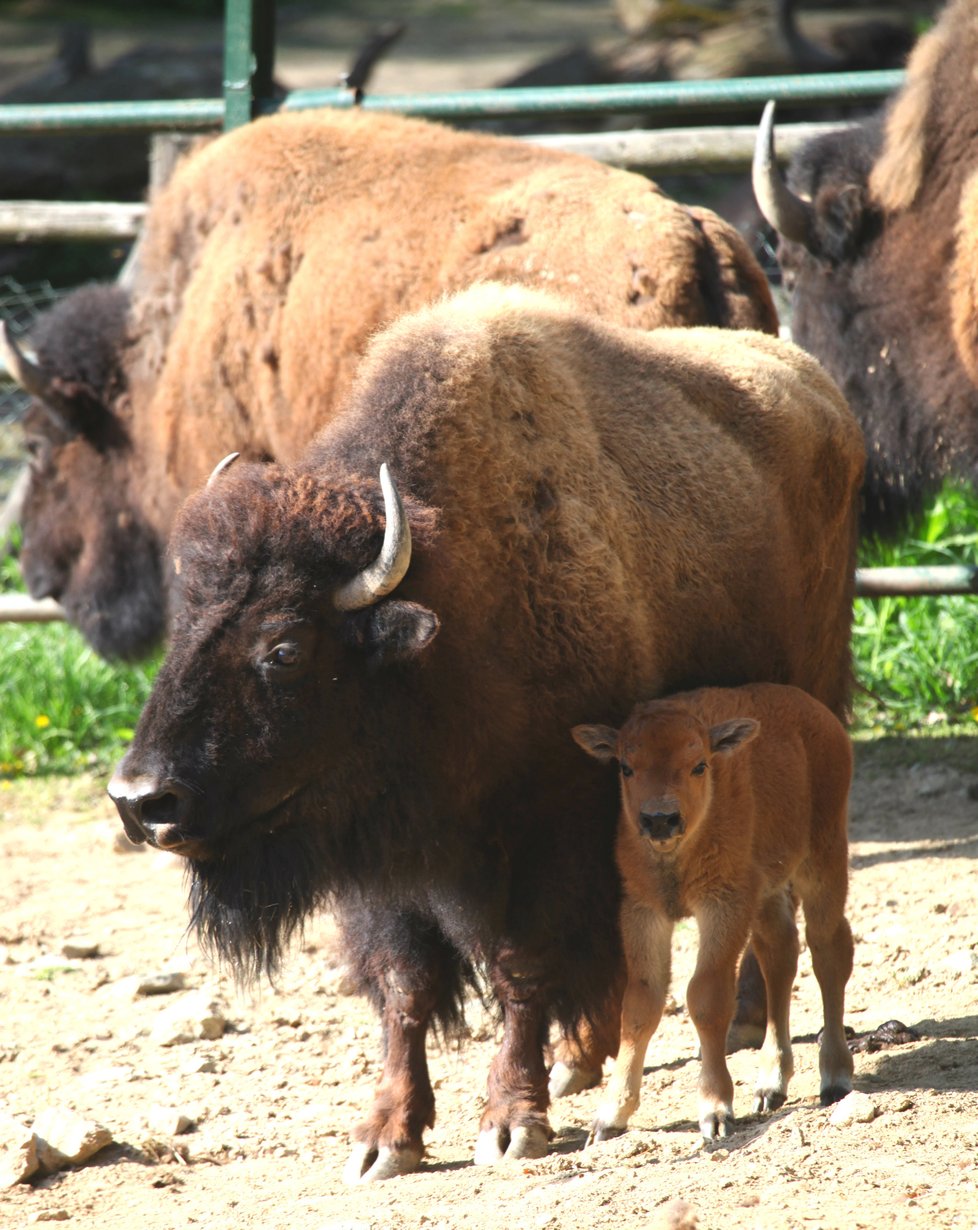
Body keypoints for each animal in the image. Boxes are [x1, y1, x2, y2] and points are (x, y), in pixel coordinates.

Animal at [573, 683, 856, 1141]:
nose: (659, 819)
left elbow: (705, 997)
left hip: (823, 859)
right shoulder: (643, 911)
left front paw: (715, 1110)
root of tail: (818, 714)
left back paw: (834, 1078)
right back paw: (770, 1084)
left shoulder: (722, 906)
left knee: (828, 950)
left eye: (699, 765)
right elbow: (639, 1005)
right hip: (767, 894)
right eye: (625, 767)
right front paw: (609, 1117)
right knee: (779, 956)